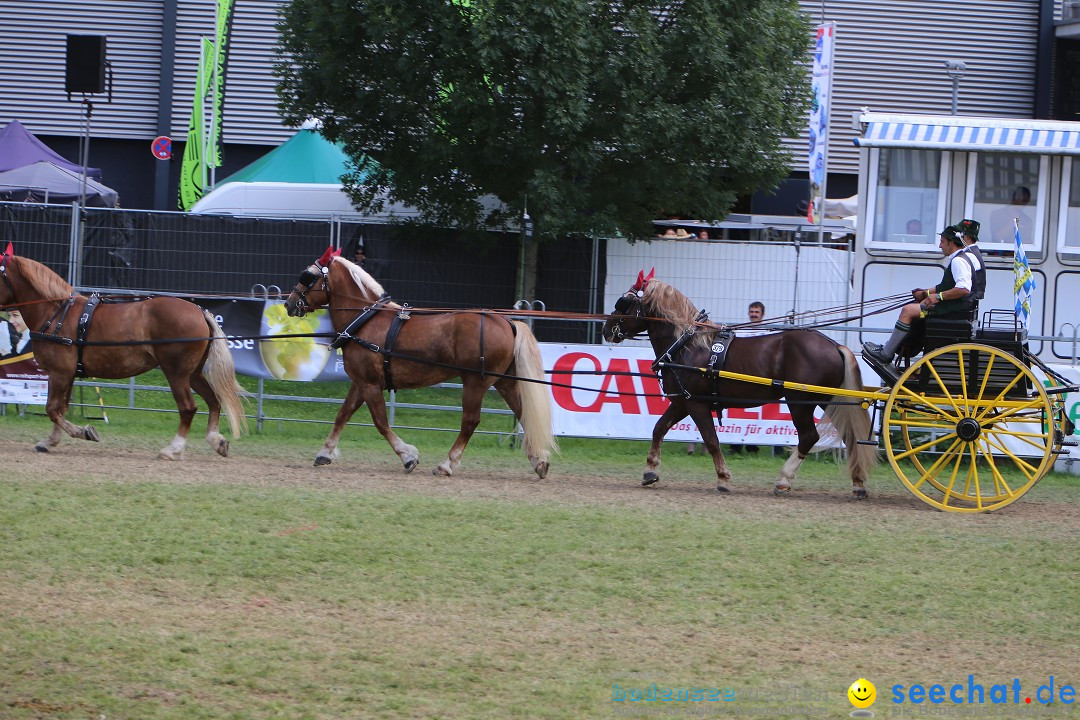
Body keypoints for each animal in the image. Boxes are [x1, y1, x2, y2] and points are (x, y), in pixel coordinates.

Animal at [0, 245, 245, 459]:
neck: (57, 312)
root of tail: (199, 311)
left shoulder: (59, 373)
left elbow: (52, 409)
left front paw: (85, 432)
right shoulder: (67, 374)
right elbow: (61, 408)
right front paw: (50, 442)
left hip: (176, 373)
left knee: (188, 407)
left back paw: (172, 450)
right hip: (192, 373)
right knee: (213, 401)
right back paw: (216, 440)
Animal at [282, 248, 557, 479]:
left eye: (308, 276)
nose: (288, 303)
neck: (365, 319)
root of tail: (508, 322)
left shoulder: (370, 384)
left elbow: (380, 422)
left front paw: (408, 457)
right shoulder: (361, 383)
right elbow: (343, 413)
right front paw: (324, 453)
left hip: (475, 382)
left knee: (470, 421)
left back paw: (447, 464)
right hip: (503, 382)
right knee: (523, 413)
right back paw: (539, 461)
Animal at [600, 273, 876, 498]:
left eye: (624, 303)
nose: (606, 329)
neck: (686, 345)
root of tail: (833, 344)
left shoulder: (696, 404)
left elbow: (711, 439)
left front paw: (723, 479)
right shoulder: (682, 401)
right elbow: (659, 429)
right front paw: (650, 472)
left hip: (799, 402)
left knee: (809, 437)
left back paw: (784, 480)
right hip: (826, 399)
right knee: (850, 436)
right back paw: (858, 482)